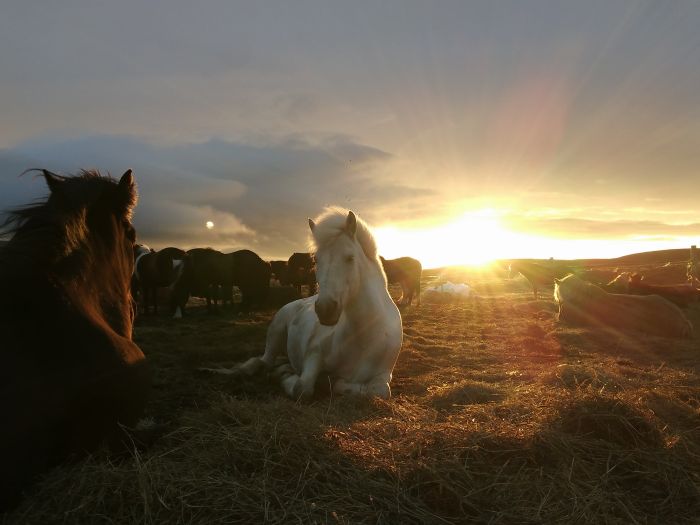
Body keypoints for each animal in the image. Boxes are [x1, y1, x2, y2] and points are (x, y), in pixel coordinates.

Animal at [202, 207, 402, 400]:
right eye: (316, 260)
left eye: (350, 258)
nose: (325, 309)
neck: (363, 337)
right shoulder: (314, 353)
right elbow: (302, 388)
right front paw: (290, 378)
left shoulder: (384, 375)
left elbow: (380, 391)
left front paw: (334, 382)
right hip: (275, 335)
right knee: (260, 362)